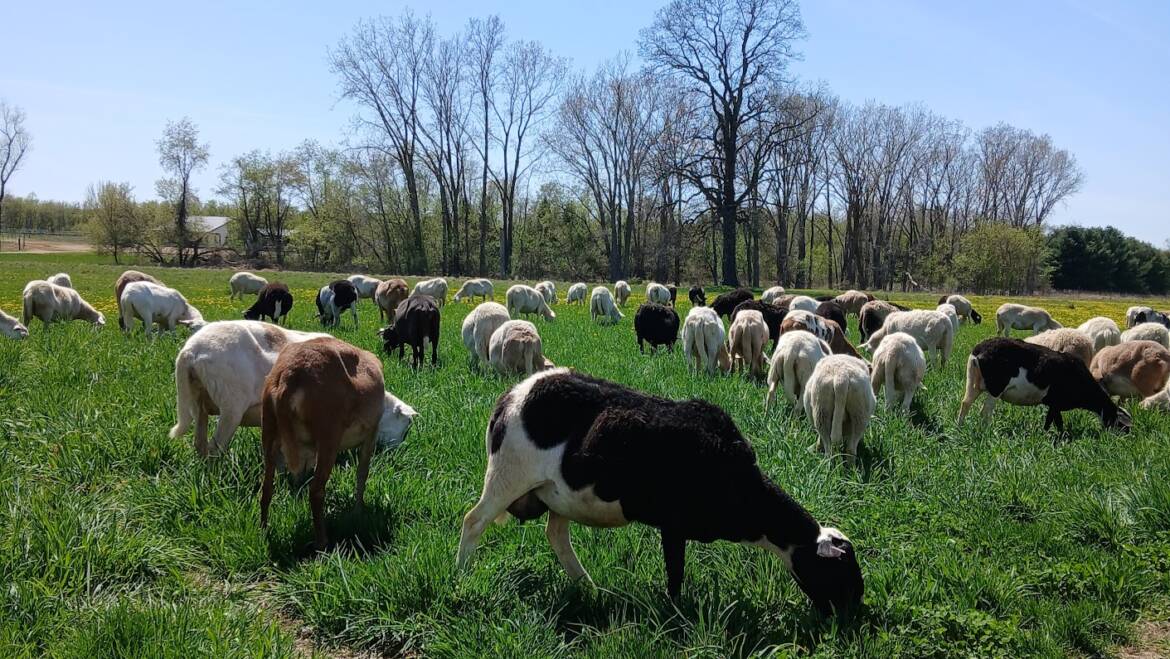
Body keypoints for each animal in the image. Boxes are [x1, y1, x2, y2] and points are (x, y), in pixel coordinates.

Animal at [260, 337, 417, 550]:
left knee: (266, 488)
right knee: (316, 491)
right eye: (406, 425)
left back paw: (263, 530)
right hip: (328, 435)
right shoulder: (371, 433)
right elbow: (362, 473)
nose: (398, 449)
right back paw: (323, 543)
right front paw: (358, 511)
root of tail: (288, 378)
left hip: (269, 431)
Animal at [456, 368, 864, 615]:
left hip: (558, 493)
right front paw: (676, 614)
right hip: (509, 472)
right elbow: (675, 574)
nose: (852, 613)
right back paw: (461, 577)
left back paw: (590, 588)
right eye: (839, 568)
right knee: (474, 521)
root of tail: (511, 396)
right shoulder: (673, 524)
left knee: (555, 535)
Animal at [958, 337, 1131, 433]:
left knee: (966, 403)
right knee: (985, 411)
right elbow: (1056, 422)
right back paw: (986, 431)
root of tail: (979, 350)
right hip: (996, 387)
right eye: (1122, 425)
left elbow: (1052, 420)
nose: (1126, 438)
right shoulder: (1056, 402)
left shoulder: (1054, 404)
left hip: (974, 381)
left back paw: (960, 426)